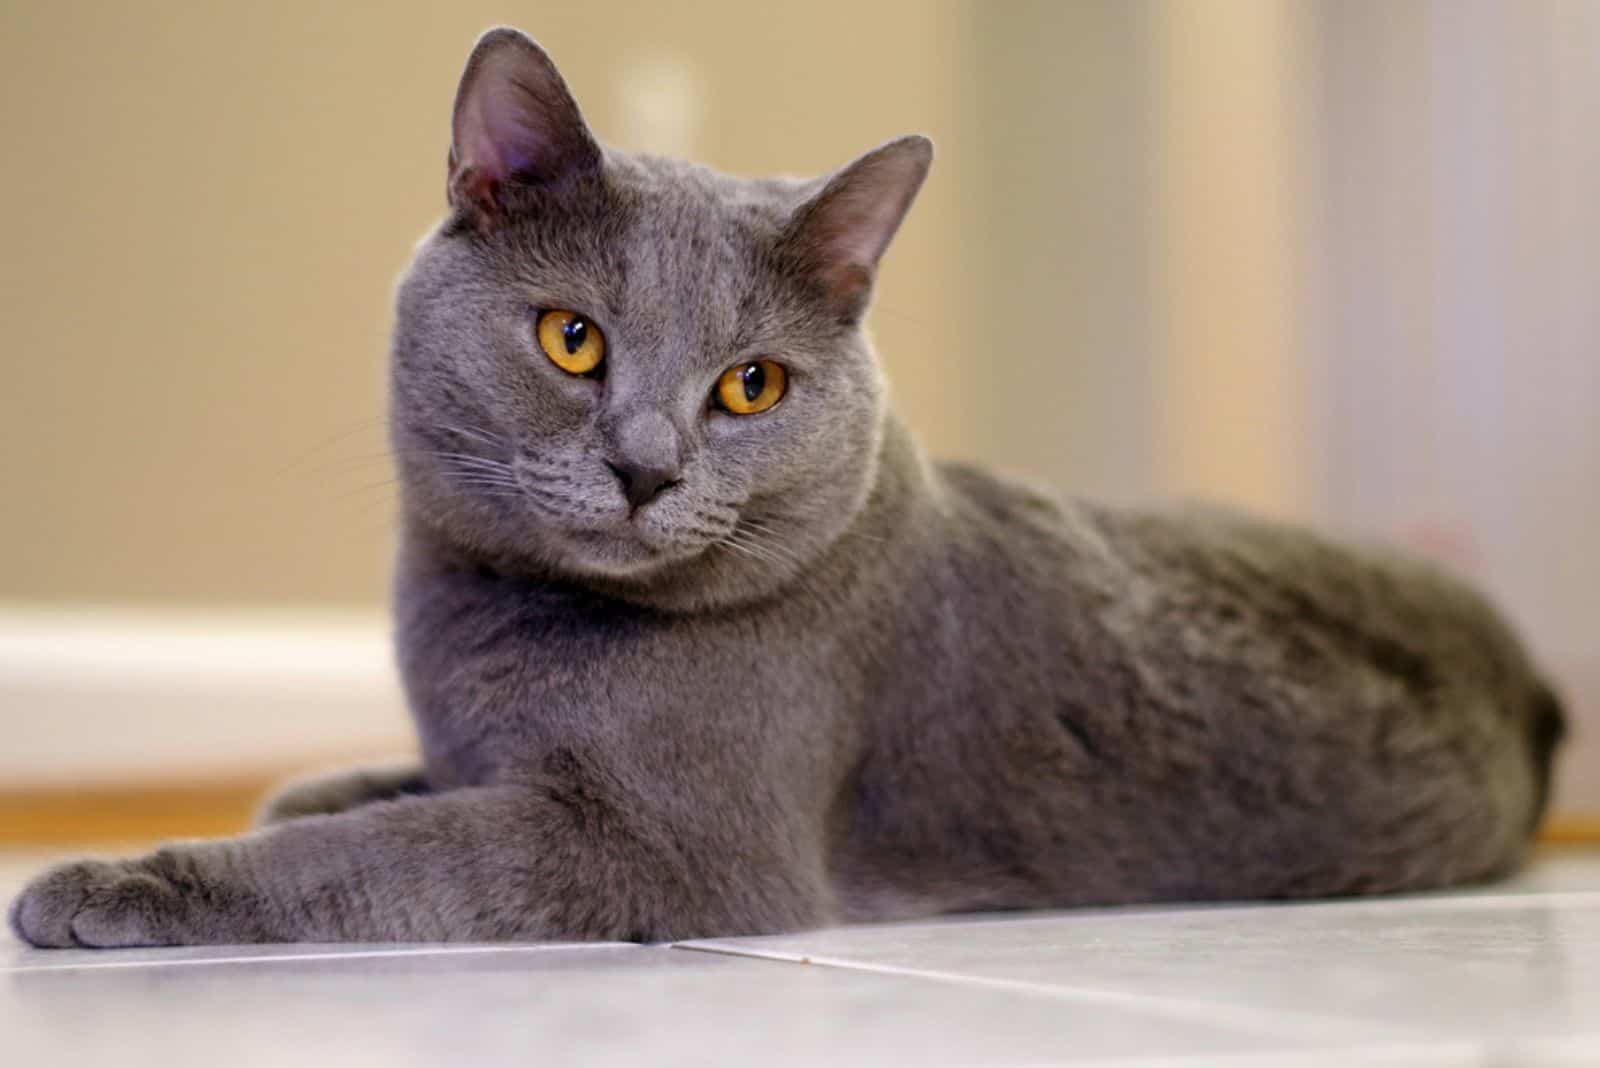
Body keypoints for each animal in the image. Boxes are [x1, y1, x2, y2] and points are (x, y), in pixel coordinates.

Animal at [9, 22, 1561, 940]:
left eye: (749, 386)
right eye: (572, 339)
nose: (645, 465)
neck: (486, 635)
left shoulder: (666, 852)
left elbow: (390, 856)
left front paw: (114, 880)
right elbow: (377, 798)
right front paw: (310, 786)